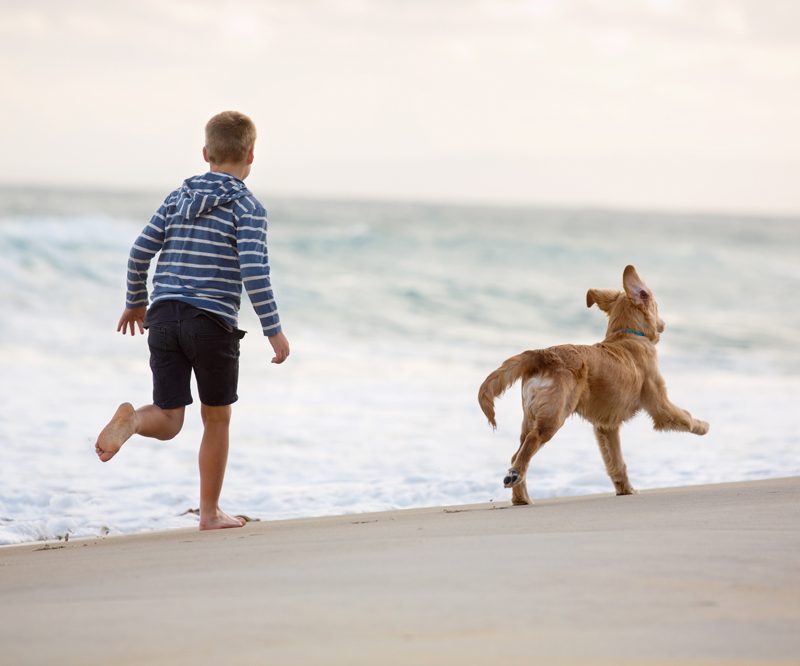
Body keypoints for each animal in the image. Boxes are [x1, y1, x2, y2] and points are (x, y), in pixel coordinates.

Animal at [476, 264, 708, 504]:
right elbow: (685, 417)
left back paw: (521, 497)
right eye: (657, 305)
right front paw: (703, 426)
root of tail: (543, 354)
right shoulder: (659, 404)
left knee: (516, 452)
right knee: (532, 440)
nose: (664, 324)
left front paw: (625, 489)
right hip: (554, 414)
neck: (628, 335)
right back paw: (515, 476)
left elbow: (616, 462)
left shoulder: (606, 426)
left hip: (530, 414)